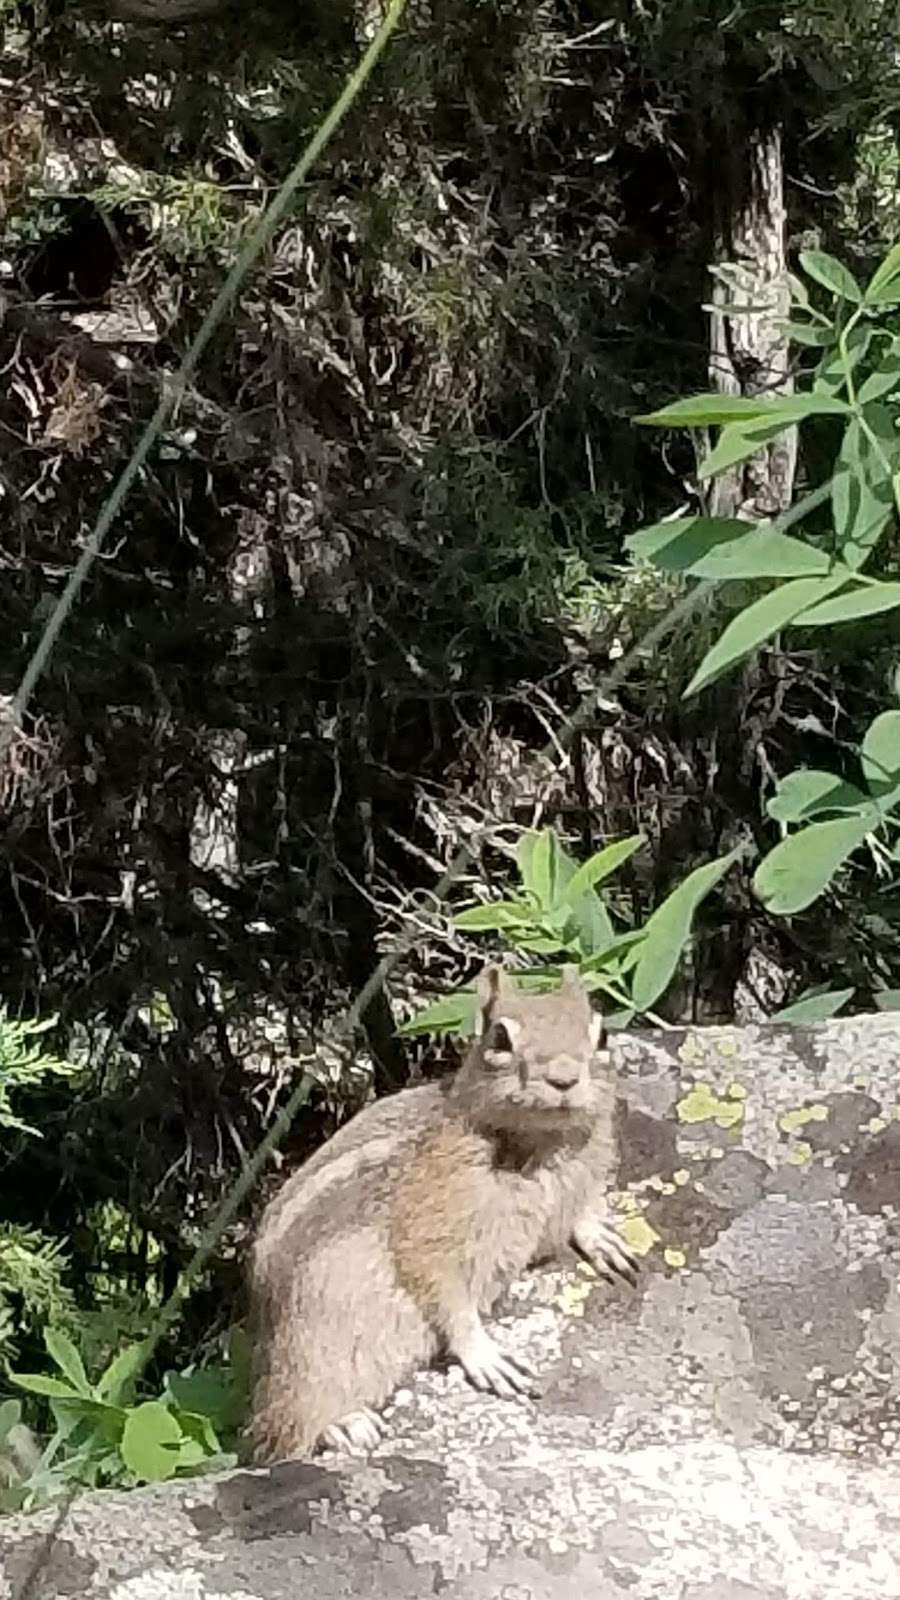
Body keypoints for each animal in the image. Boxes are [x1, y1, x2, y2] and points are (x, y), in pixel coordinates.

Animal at [248, 960, 634, 1465]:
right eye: (500, 1038)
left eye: (602, 1035)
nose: (565, 1078)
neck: (543, 1144)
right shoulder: (431, 1231)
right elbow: (445, 1293)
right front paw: (486, 1355)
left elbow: (582, 1212)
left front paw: (602, 1237)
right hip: (313, 1347)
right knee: (291, 1421)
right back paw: (344, 1425)